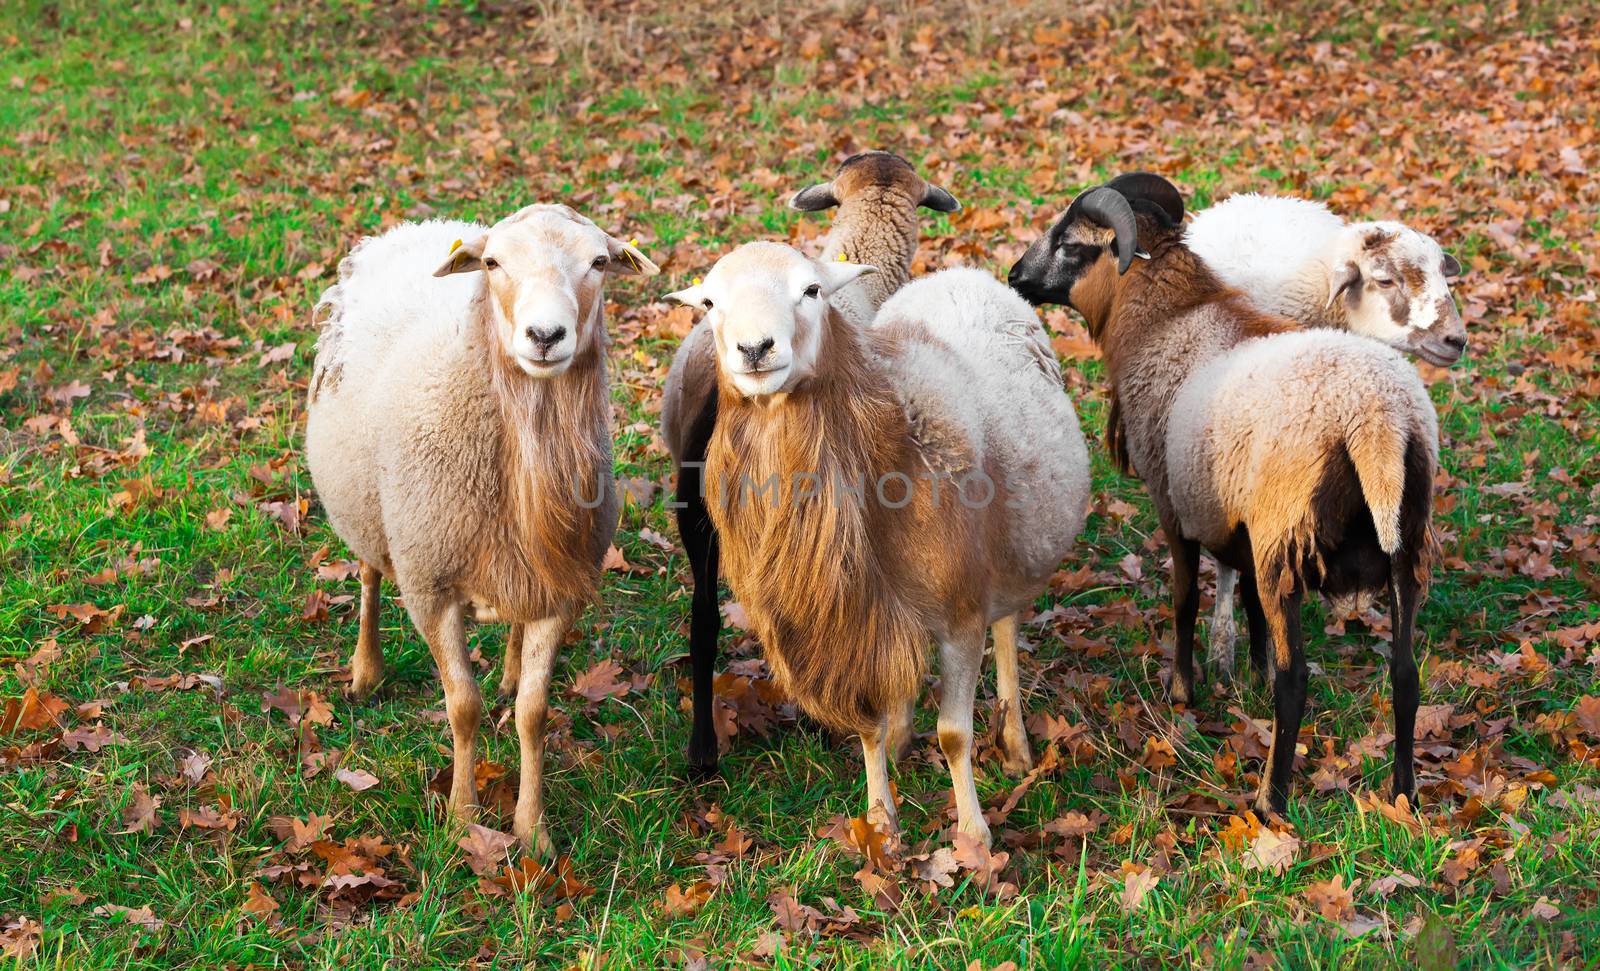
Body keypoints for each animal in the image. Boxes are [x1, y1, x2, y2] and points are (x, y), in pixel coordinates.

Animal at [302, 204, 659, 851]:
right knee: (367, 576)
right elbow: (462, 707)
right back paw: (366, 672)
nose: (545, 336)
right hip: (370, 506)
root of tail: (424, 225)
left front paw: (532, 831)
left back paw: (510, 670)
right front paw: (463, 819)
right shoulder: (429, 587)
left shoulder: (561, 593)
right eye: (493, 264)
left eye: (599, 262)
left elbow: (533, 713)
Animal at [659, 243, 1088, 844]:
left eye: (812, 289)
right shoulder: (856, 617)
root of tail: (962, 273)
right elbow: (871, 725)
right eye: (709, 303)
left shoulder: (961, 616)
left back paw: (1016, 745)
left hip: (1011, 548)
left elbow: (954, 734)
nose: (755, 349)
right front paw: (882, 821)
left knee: (1006, 626)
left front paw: (973, 834)